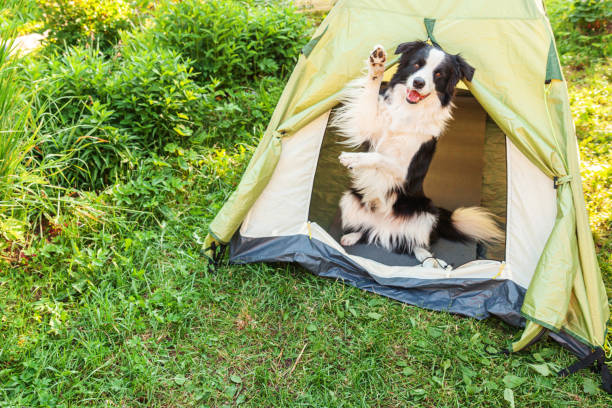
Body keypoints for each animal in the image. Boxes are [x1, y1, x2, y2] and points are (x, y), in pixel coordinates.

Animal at [334, 39, 502, 266]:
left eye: (438, 74)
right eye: (416, 64)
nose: (419, 83)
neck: (408, 111)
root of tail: (384, 225)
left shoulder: (407, 171)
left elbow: (379, 157)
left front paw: (353, 158)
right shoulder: (368, 125)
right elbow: (370, 92)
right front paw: (377, 65)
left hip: (427, 214)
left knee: (418, 243)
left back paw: (430, 261)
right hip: (350, 198)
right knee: (366, 231)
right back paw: (351, 236)